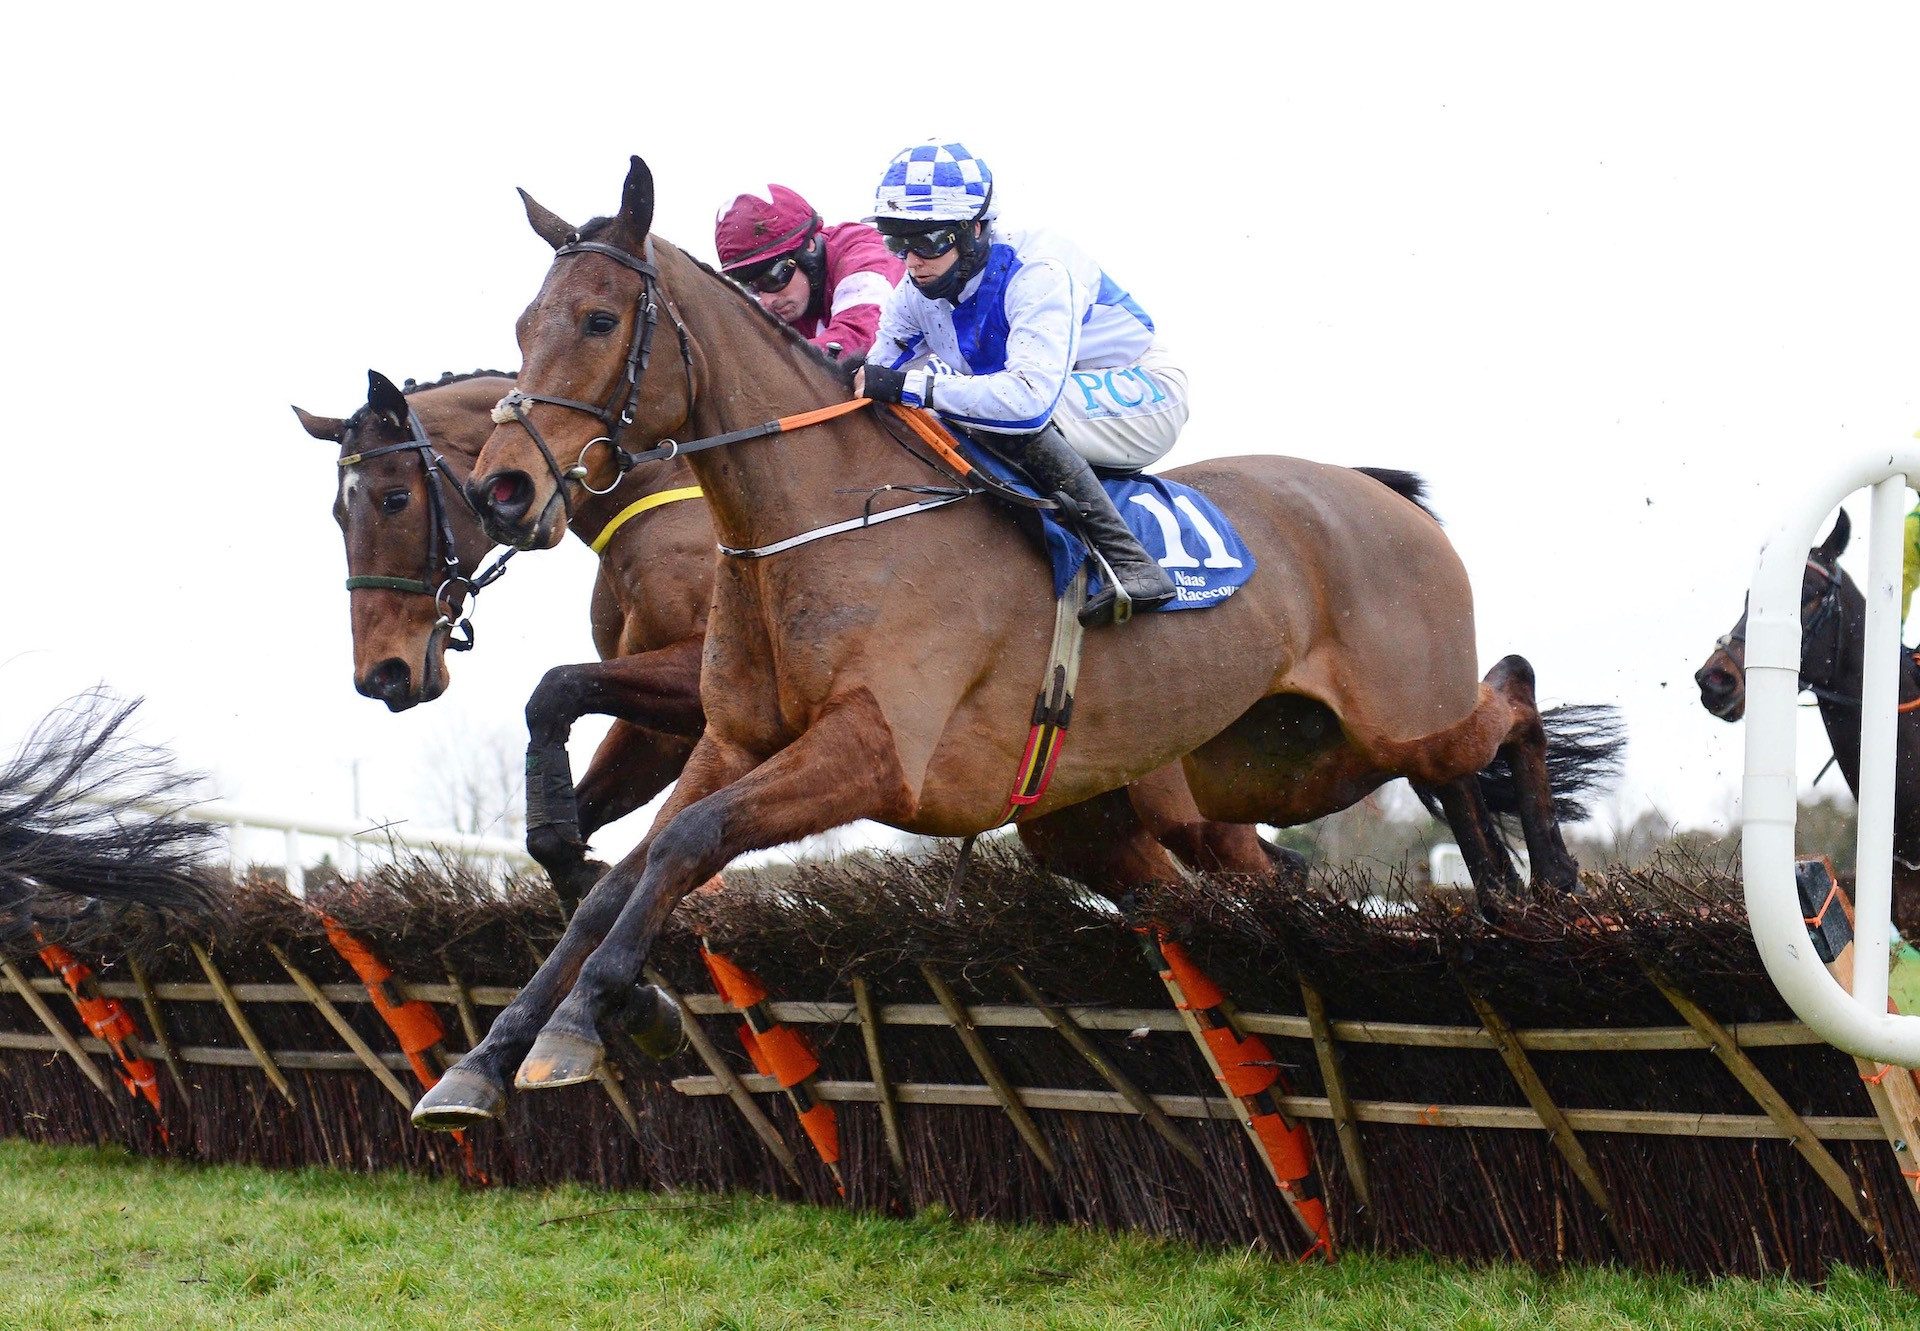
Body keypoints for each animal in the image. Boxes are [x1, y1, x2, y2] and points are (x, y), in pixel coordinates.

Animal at [408, 161, 1620, 1129]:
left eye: (599, 321)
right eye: (522, 324)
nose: (504, 487)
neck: (820, 519)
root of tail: (1383, 492)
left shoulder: (875, 753)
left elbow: (686, 843)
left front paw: (585, 1024)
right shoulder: (733, 739)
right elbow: (623, 874)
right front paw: (489, 1058)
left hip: (1388, 716)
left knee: (1507, 699)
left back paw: (1553, 884)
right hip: (1287, 758)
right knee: (1399, 797)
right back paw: (1501, 890)